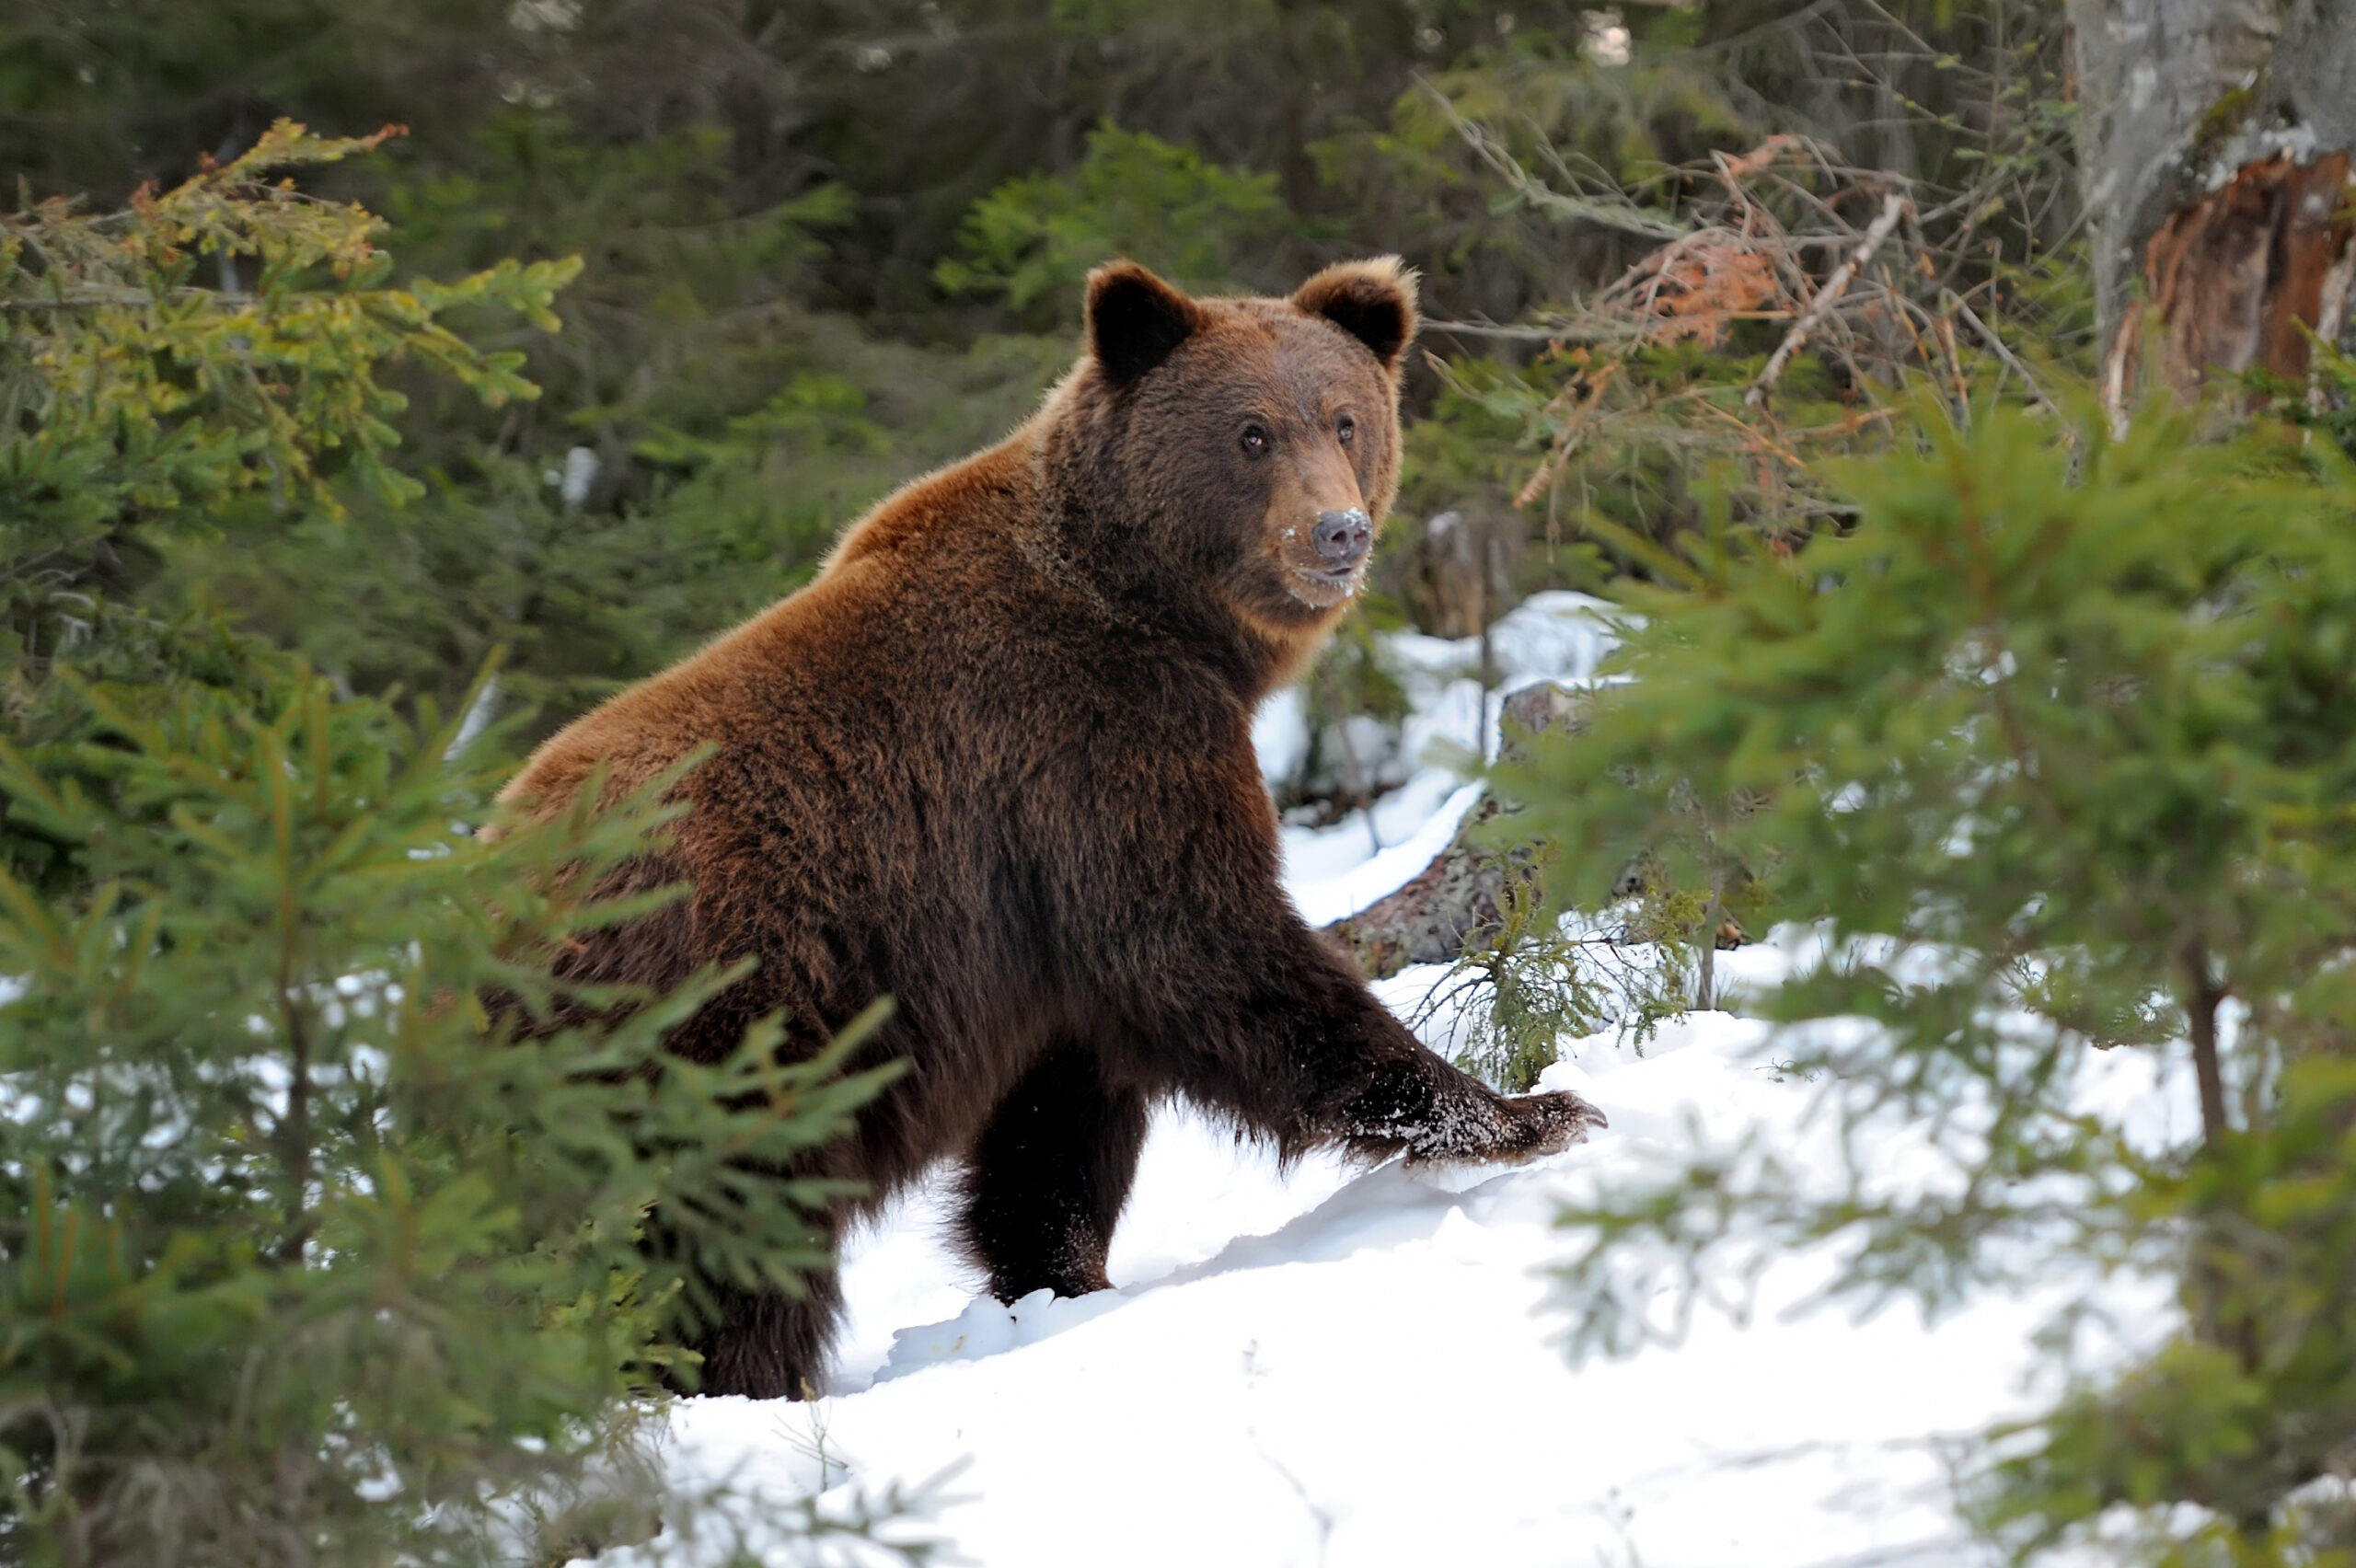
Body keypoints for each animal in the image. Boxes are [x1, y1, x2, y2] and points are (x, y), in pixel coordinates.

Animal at [506, 256, 1611, 1393]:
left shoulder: (1041, 904)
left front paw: (1057, 1282)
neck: (1167, 615)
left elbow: (1057, 1121)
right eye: (1251, 433)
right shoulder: (1086, 751)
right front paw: (1529, 1114)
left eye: (1346, 419)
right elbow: (1210, 947)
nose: (1336, 532)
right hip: (728, 1023)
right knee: (726, 1234)